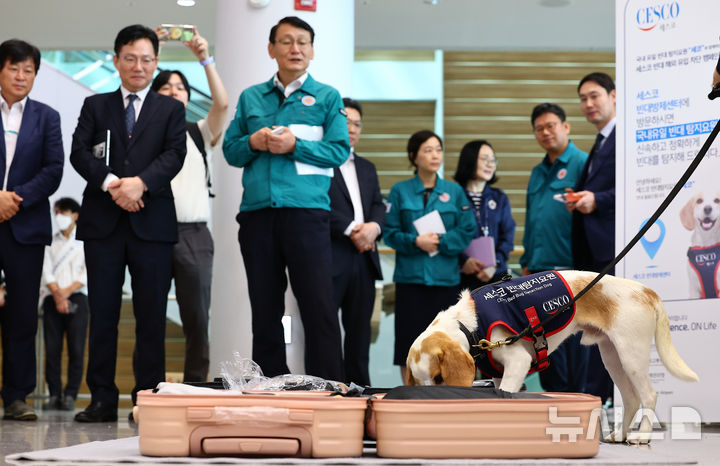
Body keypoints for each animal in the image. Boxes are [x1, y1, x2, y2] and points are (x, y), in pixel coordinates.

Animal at [408, 272, 700, 446]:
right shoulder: (499, 374)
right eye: (420, 384)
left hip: (631, 354)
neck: (469, 324)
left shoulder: (517, 363)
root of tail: (647, 291)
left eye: (440, 377)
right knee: (631, 398)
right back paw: (621, 433)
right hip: (612, 356)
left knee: (649, 395)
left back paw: (643, 435)